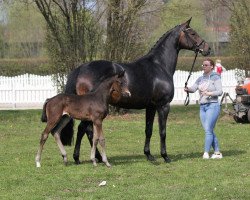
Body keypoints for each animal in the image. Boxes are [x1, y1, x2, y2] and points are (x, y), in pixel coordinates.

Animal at [61, 18, 210, 163]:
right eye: (193, 33)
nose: (207, 49)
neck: (159, 66)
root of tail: (81, 69)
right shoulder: (163, 105)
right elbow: (162, 131)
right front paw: (165, 156)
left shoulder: (151, 107)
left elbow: (148, 130)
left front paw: (149, 155)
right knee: (84, 129)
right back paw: (83, 157)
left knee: (85, 130)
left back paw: (91, 157)